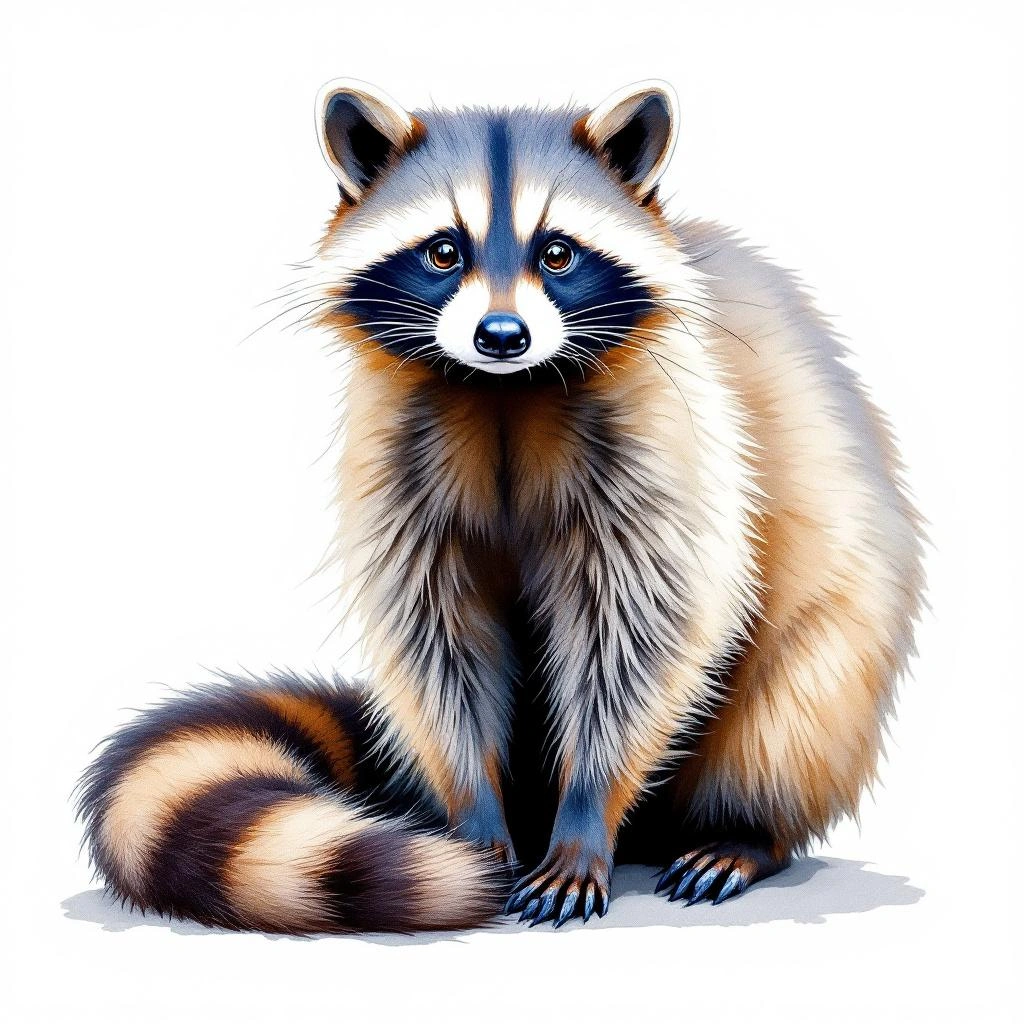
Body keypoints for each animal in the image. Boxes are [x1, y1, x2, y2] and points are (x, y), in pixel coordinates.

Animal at [77, 79, 924, 933]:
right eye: (443, 252)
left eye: (558, 253)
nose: (502, 334)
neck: (504, 391)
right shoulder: (397, 449)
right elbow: (432, 634)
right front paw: (476, 813)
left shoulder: (672, 428)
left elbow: (640, 634)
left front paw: (586, 812)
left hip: (829, 650)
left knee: (799, 696)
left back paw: (745, 831)